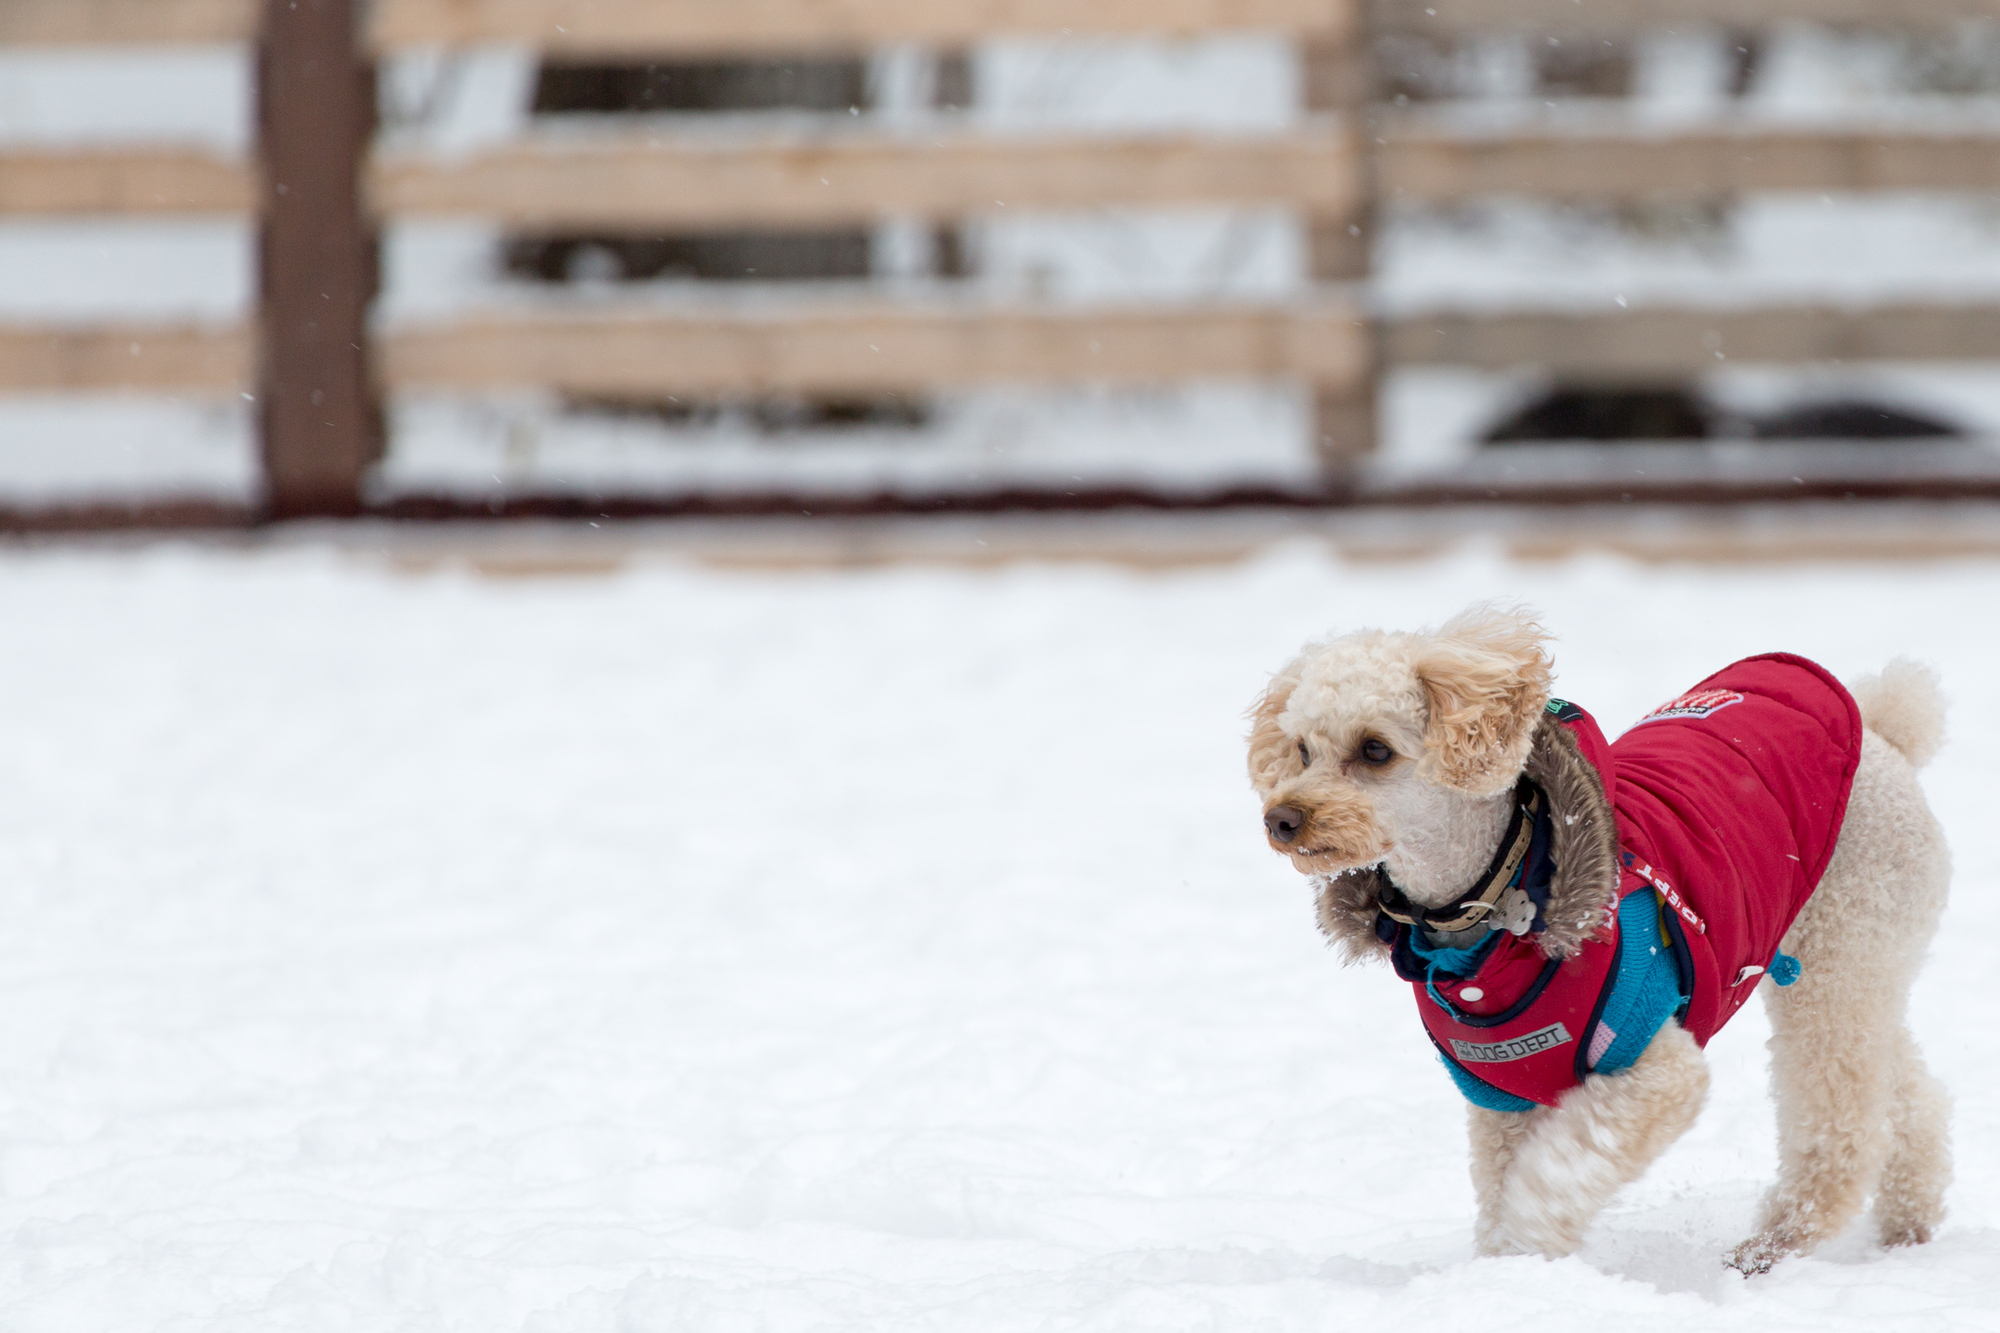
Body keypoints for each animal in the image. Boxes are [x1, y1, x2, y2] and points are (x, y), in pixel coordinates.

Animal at [1248, 600, 1952, 1264]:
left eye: (1375, 749)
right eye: (1302, 750)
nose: (1281, 820)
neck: (1494, 899)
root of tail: (1885, 736)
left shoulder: (1654, 1068)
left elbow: (1558, 1170)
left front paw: (1527, 1246)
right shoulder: (1504, 1096)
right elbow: (1501, 1180)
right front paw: (1504, 1272)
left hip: (1843, 954)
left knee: (1843, 1117)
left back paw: (1778, 1241)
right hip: (1858, 964)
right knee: (1904, 1088)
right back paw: (1909, 1220)